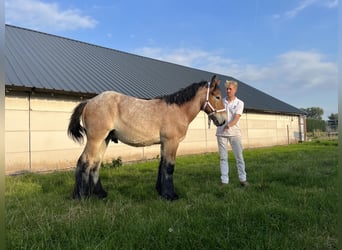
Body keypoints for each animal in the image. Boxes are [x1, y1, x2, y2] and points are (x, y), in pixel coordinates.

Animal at [67, 74, 227, 201]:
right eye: (217, 97)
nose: (223, 120)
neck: (177, 110)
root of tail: (89, 102)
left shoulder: (164, 144)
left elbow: (162, 166)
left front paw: (161, 192)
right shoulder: (171, 142)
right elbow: (169, 167)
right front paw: (171, 195)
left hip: (104, 140)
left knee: (95, 164)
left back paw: (100, 194)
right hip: (96, 140)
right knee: (84, 162)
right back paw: (82, 196)